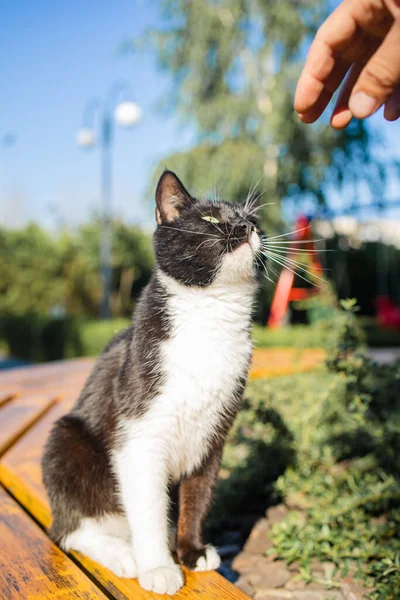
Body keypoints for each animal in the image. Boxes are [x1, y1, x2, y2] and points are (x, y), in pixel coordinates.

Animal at [42, 170, 262, 596]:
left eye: (254, 220)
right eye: (210, 219)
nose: (245, 227)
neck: (207, 321)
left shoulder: (213, 436)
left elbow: (198, 496)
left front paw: (192, 551)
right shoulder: (139, 434)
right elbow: (148, 508)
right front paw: (159, 566)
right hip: (65, 441)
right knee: (70, 530)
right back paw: (123, 554)